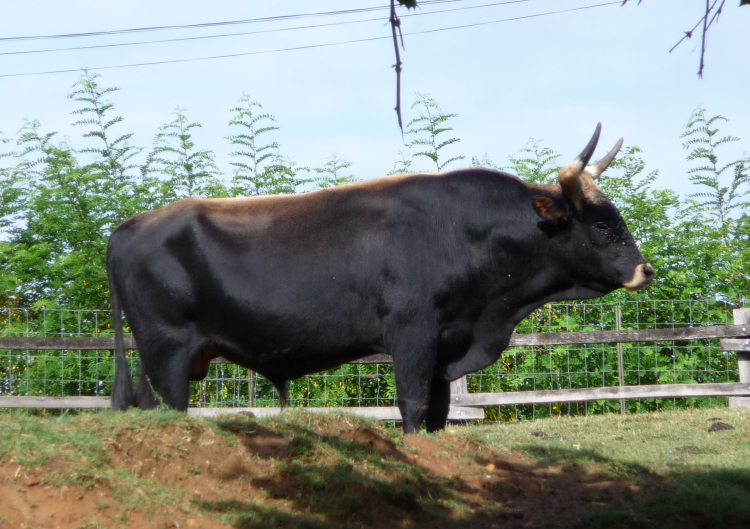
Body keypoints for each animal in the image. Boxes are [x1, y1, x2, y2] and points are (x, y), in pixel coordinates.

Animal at [108, 126, 656, 432]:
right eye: (602, 226)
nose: (644, 270)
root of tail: (129, 226)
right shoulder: (412, 333)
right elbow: (412, 407)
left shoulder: (445, 347)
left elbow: (437, 414)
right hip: (166, 350)